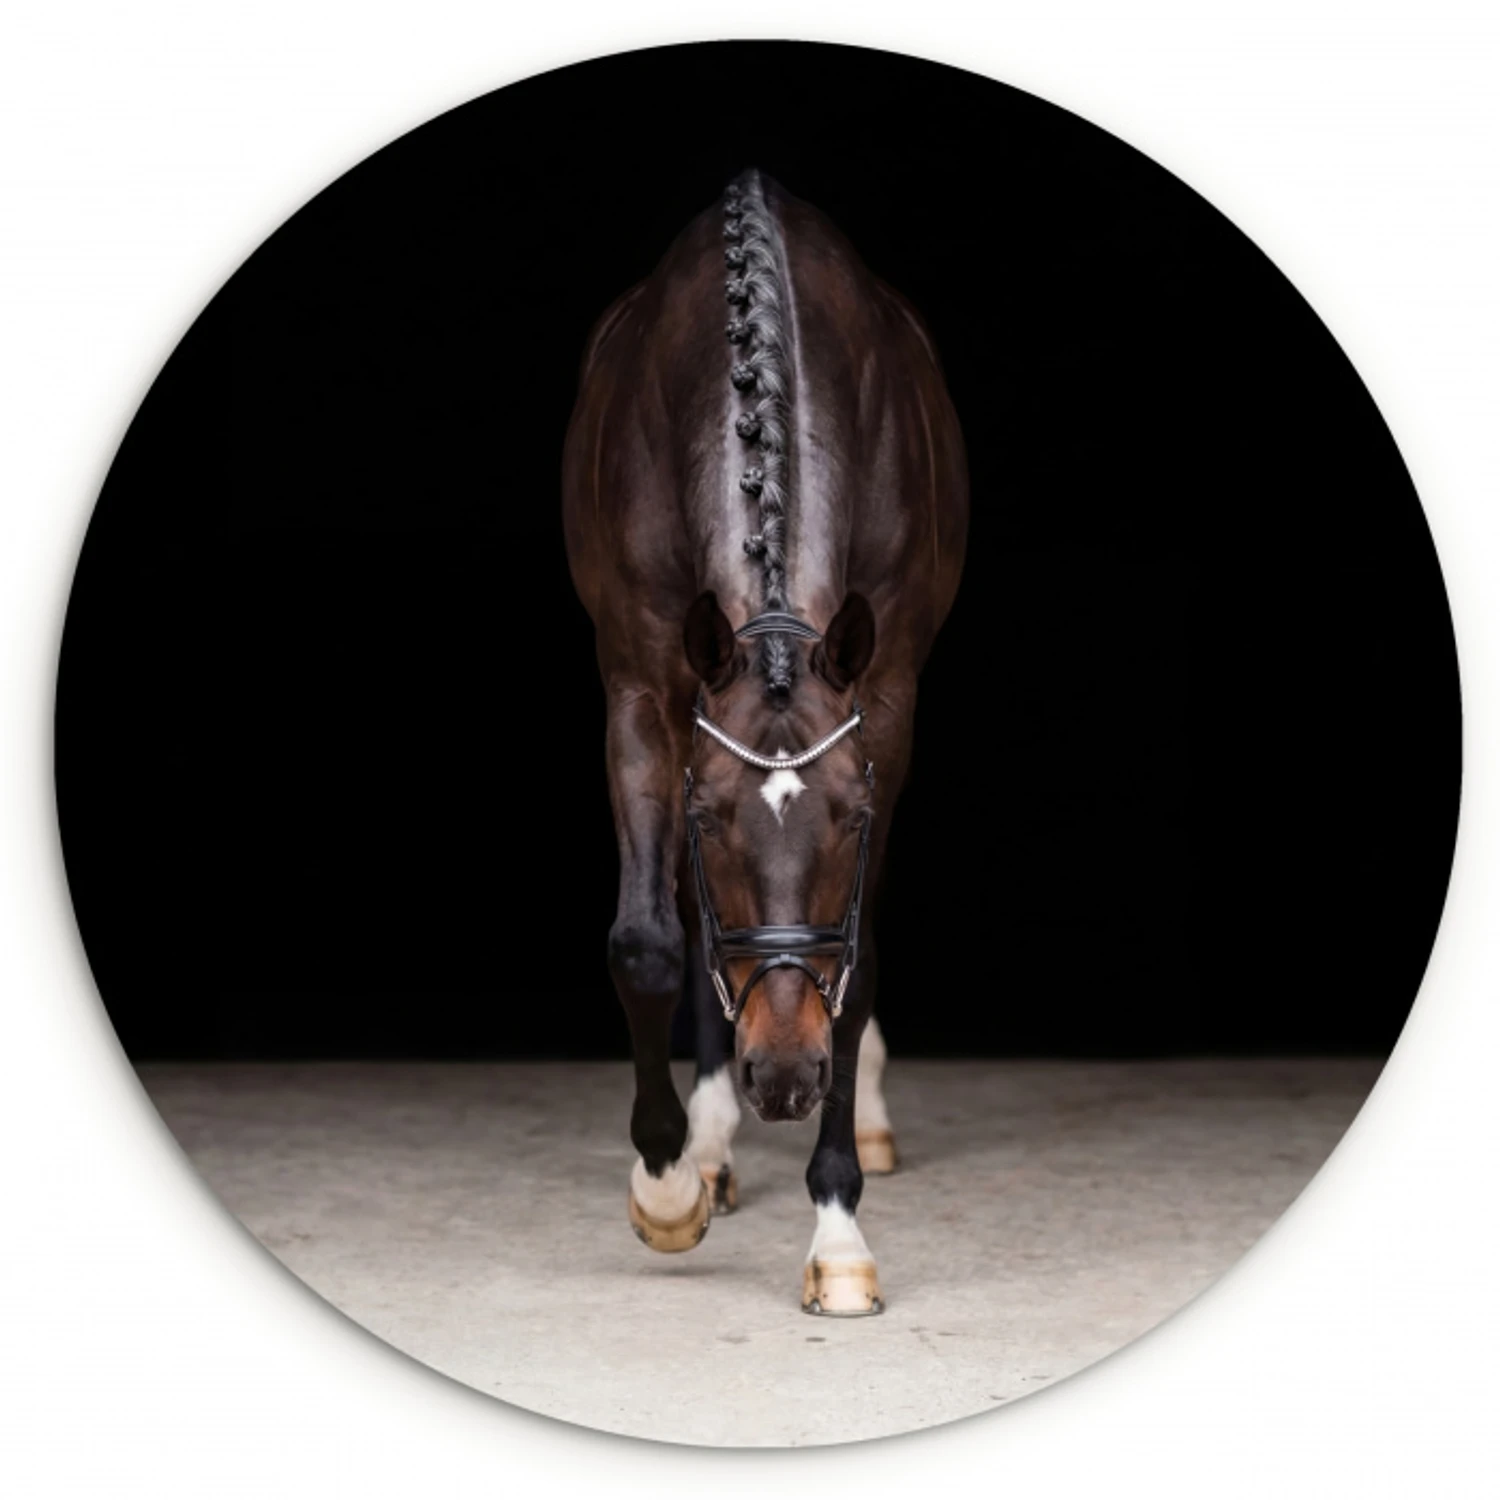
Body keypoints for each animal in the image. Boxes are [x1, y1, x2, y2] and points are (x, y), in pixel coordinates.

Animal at [561, 168, 968, 1314]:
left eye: (852, 816)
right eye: (707, 820)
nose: (784, 1077)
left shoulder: (886, 700)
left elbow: (854, 963)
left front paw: (837, 1233)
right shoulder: (641, 687)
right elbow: (652, 940)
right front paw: (666, 1187)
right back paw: (708, 1145)